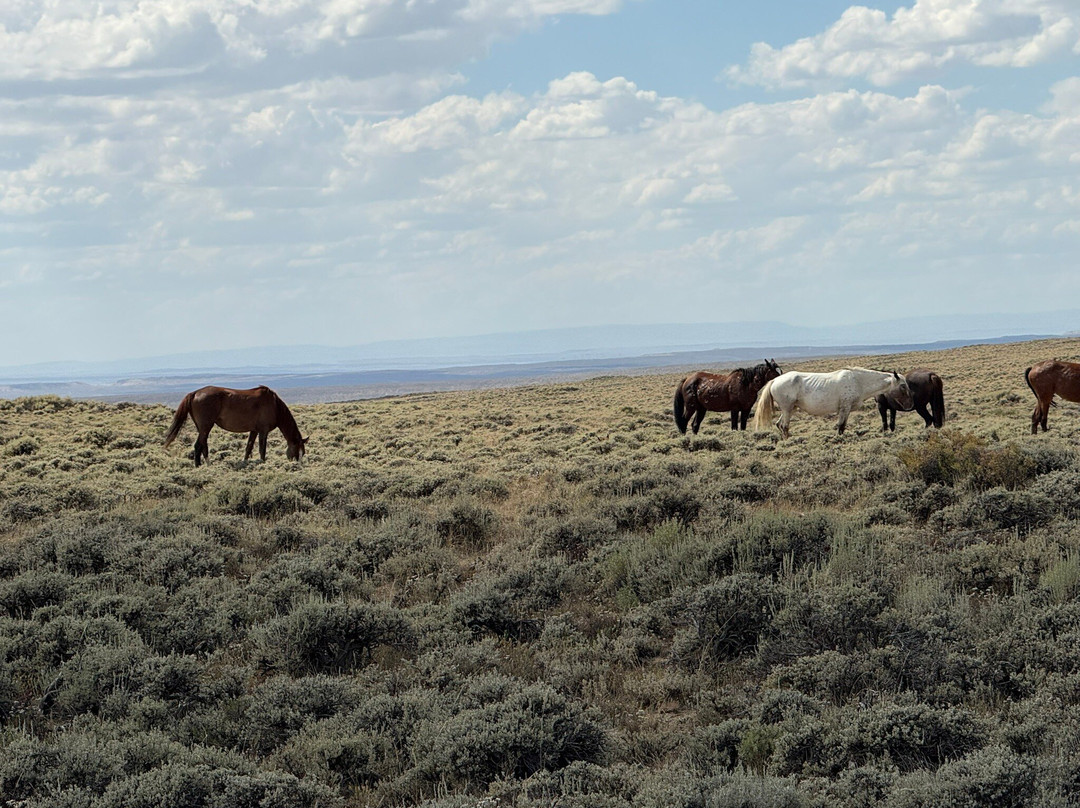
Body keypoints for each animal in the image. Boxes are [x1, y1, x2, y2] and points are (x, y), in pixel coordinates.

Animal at [163, 385, 308, 467]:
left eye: (303, 452)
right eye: (297, 450)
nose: (299, 465)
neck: (274, 405)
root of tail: (195, 393)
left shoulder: (254, 431)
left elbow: (248, 448)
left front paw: (244, 463)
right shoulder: (263, 431)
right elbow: (262, 450)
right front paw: (263, 464)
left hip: (202, 428)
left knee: (203, 445)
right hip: (206, 427)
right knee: (198, 445)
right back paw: (200, 466)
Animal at [752, 367, 912, 438]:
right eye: (902, 386)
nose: (910, 405)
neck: (858, 381)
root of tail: (774, 381)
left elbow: (843, 426)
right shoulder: (845, 408)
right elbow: (841, 426)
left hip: (790, 409)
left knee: (779, 425)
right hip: (787, 409)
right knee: (784, 426)